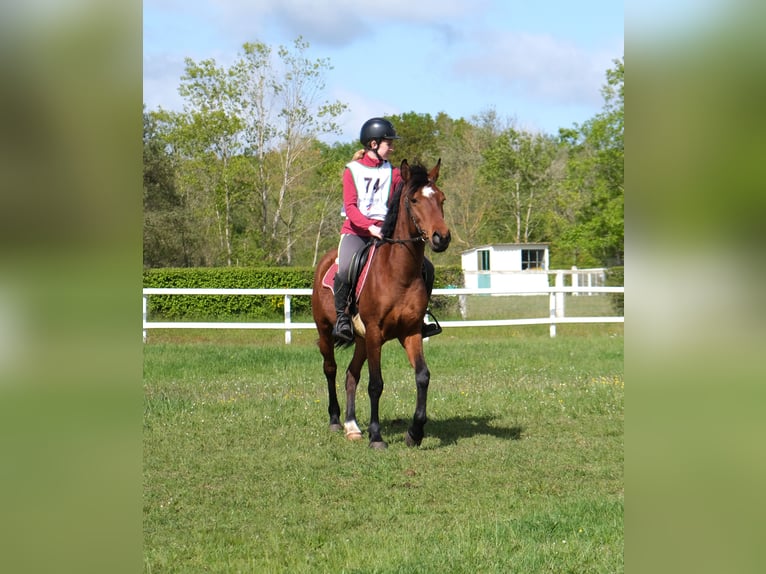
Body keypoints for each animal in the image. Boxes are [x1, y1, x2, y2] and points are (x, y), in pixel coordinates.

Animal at [312, 160, 452, 452]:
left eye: (442, 198)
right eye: (414, 199)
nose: (441, 238)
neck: (398, 273)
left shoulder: (410, 332)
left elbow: (422, 376)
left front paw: (415, 433)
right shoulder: (376, 333)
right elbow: (376, 384)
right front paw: (377, 436)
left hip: (362, 341)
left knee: (351, 375)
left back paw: (352, 427)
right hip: (326, 330)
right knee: (331, 369)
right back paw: (336, 420)